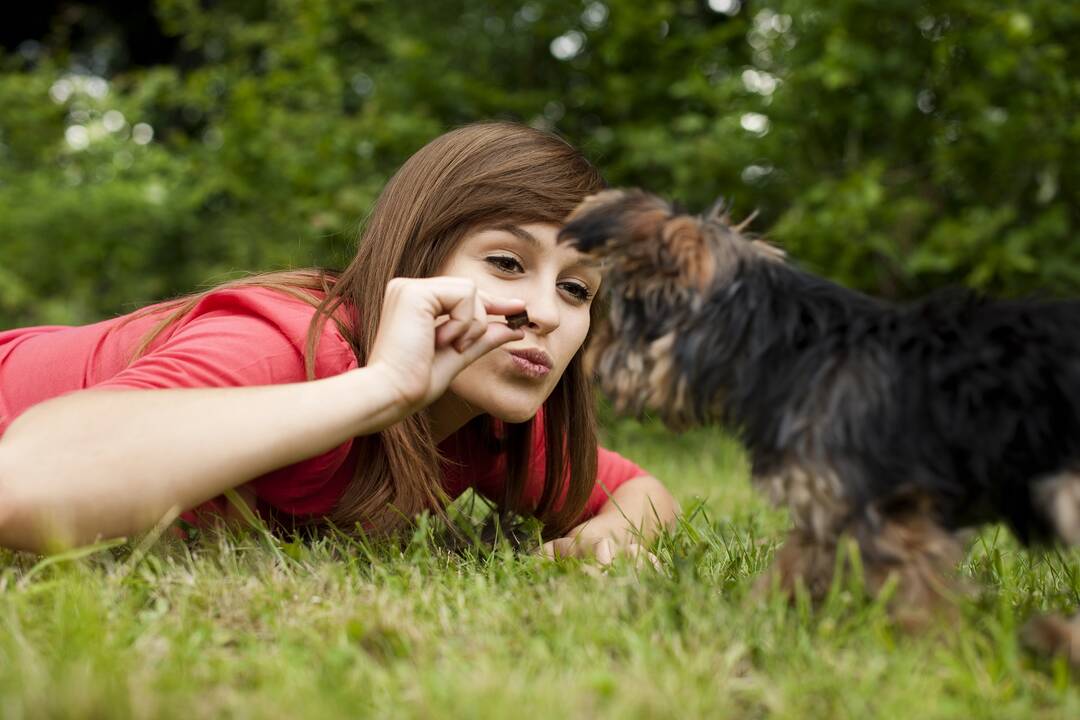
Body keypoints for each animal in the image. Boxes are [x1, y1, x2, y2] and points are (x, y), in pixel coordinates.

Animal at [557, 187, 1080, 660]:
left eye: (622, 316)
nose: (592, 361)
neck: (777, 348)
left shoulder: (886, 514)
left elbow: (915, 596)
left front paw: (935, 655)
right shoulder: (826, 504)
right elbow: (791, 567)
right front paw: (752, 620)